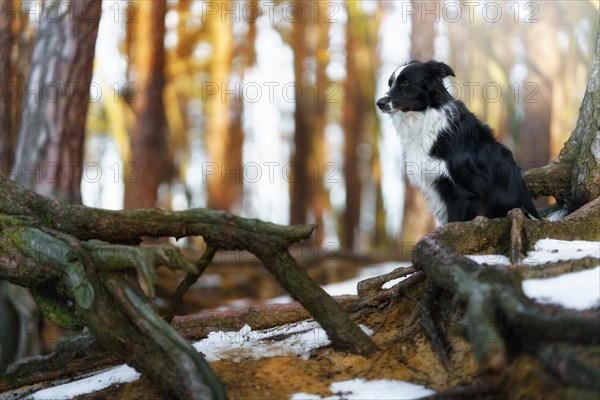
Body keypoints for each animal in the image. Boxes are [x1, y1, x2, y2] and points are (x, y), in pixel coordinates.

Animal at [376, 61, 540, 227]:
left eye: (406, 82)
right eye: (390, 84)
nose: (379, 103)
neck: (424, 120)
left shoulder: (460, 193)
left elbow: (453, 221)